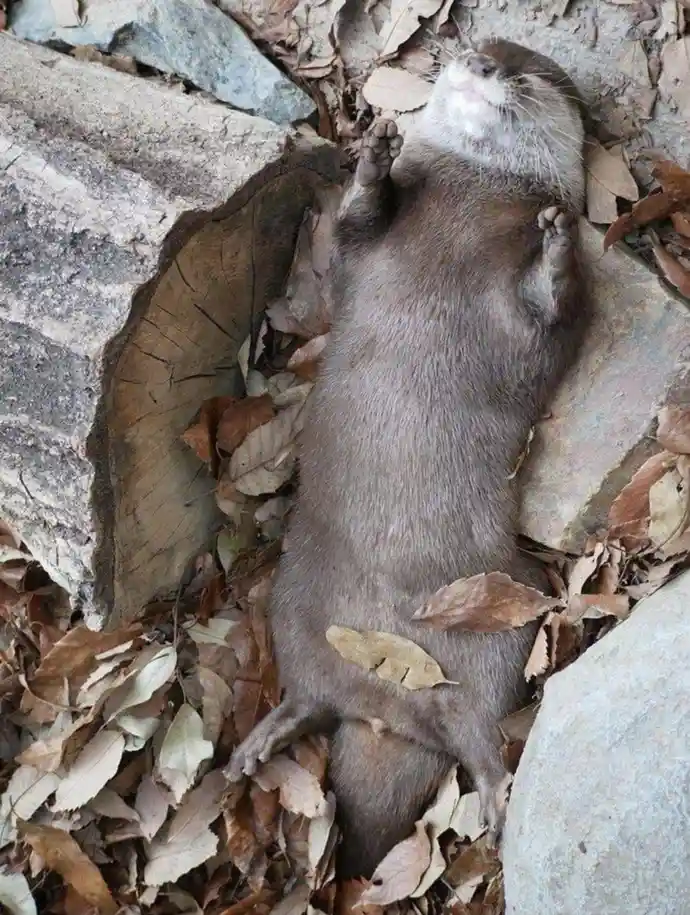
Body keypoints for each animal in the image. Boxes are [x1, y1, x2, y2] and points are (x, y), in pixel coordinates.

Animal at [228, 38, 590, 878]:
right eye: (482, 49)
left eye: (529, 71)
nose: (484, 65)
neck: (470, 202)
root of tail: (392, 703)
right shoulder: (361, 247)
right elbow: (355, 224)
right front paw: (373, 156)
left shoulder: (536, 314)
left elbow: (554, 303)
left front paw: (557, 238)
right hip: (295, 608)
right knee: (312, 697)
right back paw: (258, 744)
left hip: (501, 627)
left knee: (479, 728)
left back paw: (498, 803)